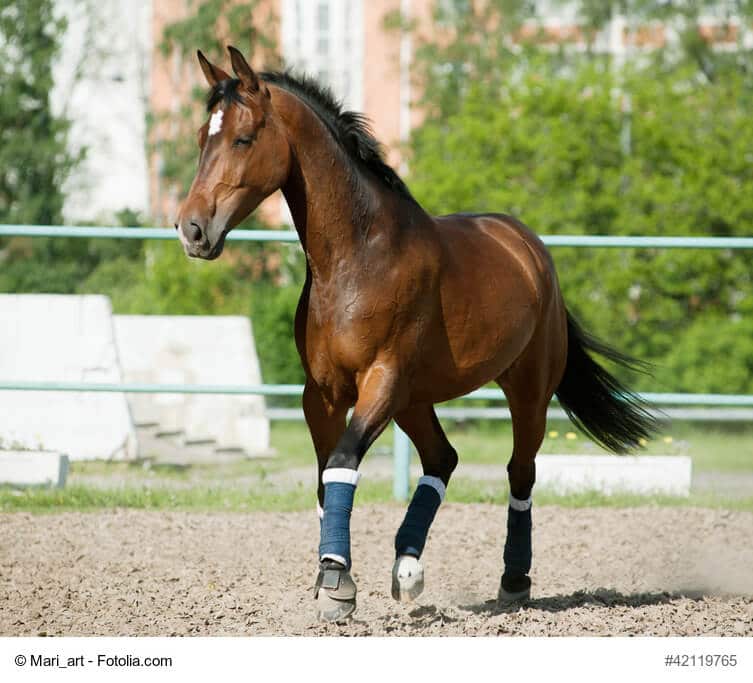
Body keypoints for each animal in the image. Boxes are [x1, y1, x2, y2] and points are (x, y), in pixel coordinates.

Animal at [175, 46, 656, 622]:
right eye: (202, 137)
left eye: (243, 138)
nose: (192, 229)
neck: (357, 258)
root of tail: (529, 247)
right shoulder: (323, 394)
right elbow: (325, 477)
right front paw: (333, 578)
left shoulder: (381, 379)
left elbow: (342, 463)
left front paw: (336, 581)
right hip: (415, 399)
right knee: (442, 459)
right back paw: (408, 568)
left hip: (525, 393)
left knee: (520, 471)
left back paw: (514, 580)